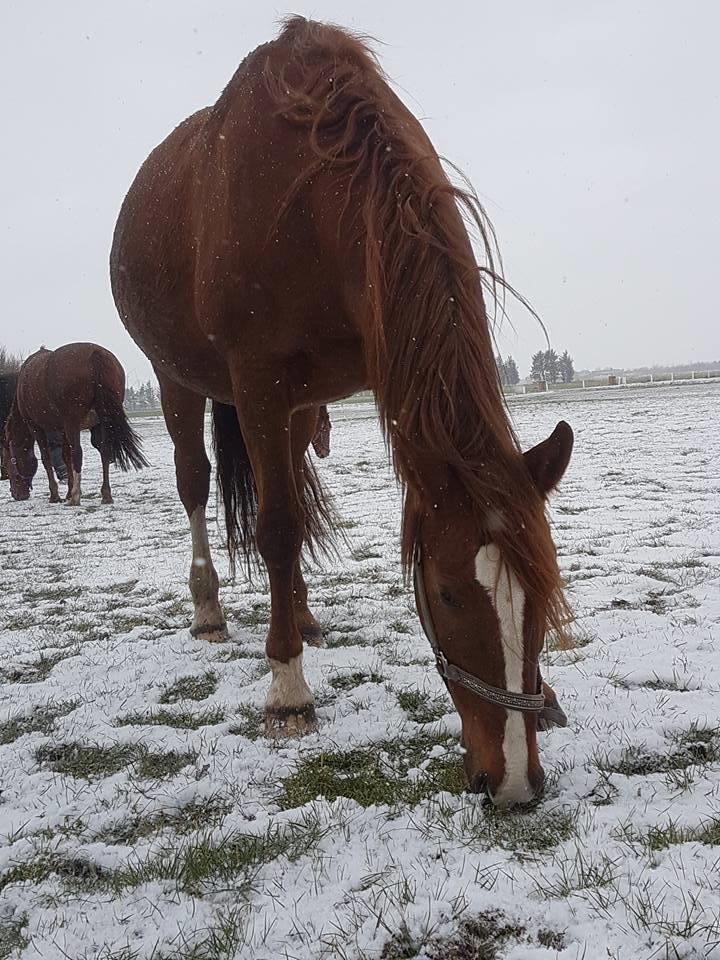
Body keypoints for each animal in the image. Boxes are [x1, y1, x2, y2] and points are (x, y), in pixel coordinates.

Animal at [3, 344, 148, 506]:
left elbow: (47, 459)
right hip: (102, 422)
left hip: (72, 423)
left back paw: (75, 497)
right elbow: (66, 457)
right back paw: (106, 494)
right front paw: (67, 491)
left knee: (78, 453)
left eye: (9, 464)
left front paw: (55, 495)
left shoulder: (35, 426)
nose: (17, 494)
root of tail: (95, 353)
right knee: (104, 451)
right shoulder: (63, 429)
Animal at [111, 18, 572, 808]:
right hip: (179, 381)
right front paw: (287, 692)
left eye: (540, 594)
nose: (514, 783)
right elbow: (273, 527)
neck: (312, 202)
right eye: (447, 596)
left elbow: (289, 518)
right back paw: (211, 610)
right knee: (198, 484)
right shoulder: (257, 381)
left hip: (300, 407)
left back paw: (300, 613)